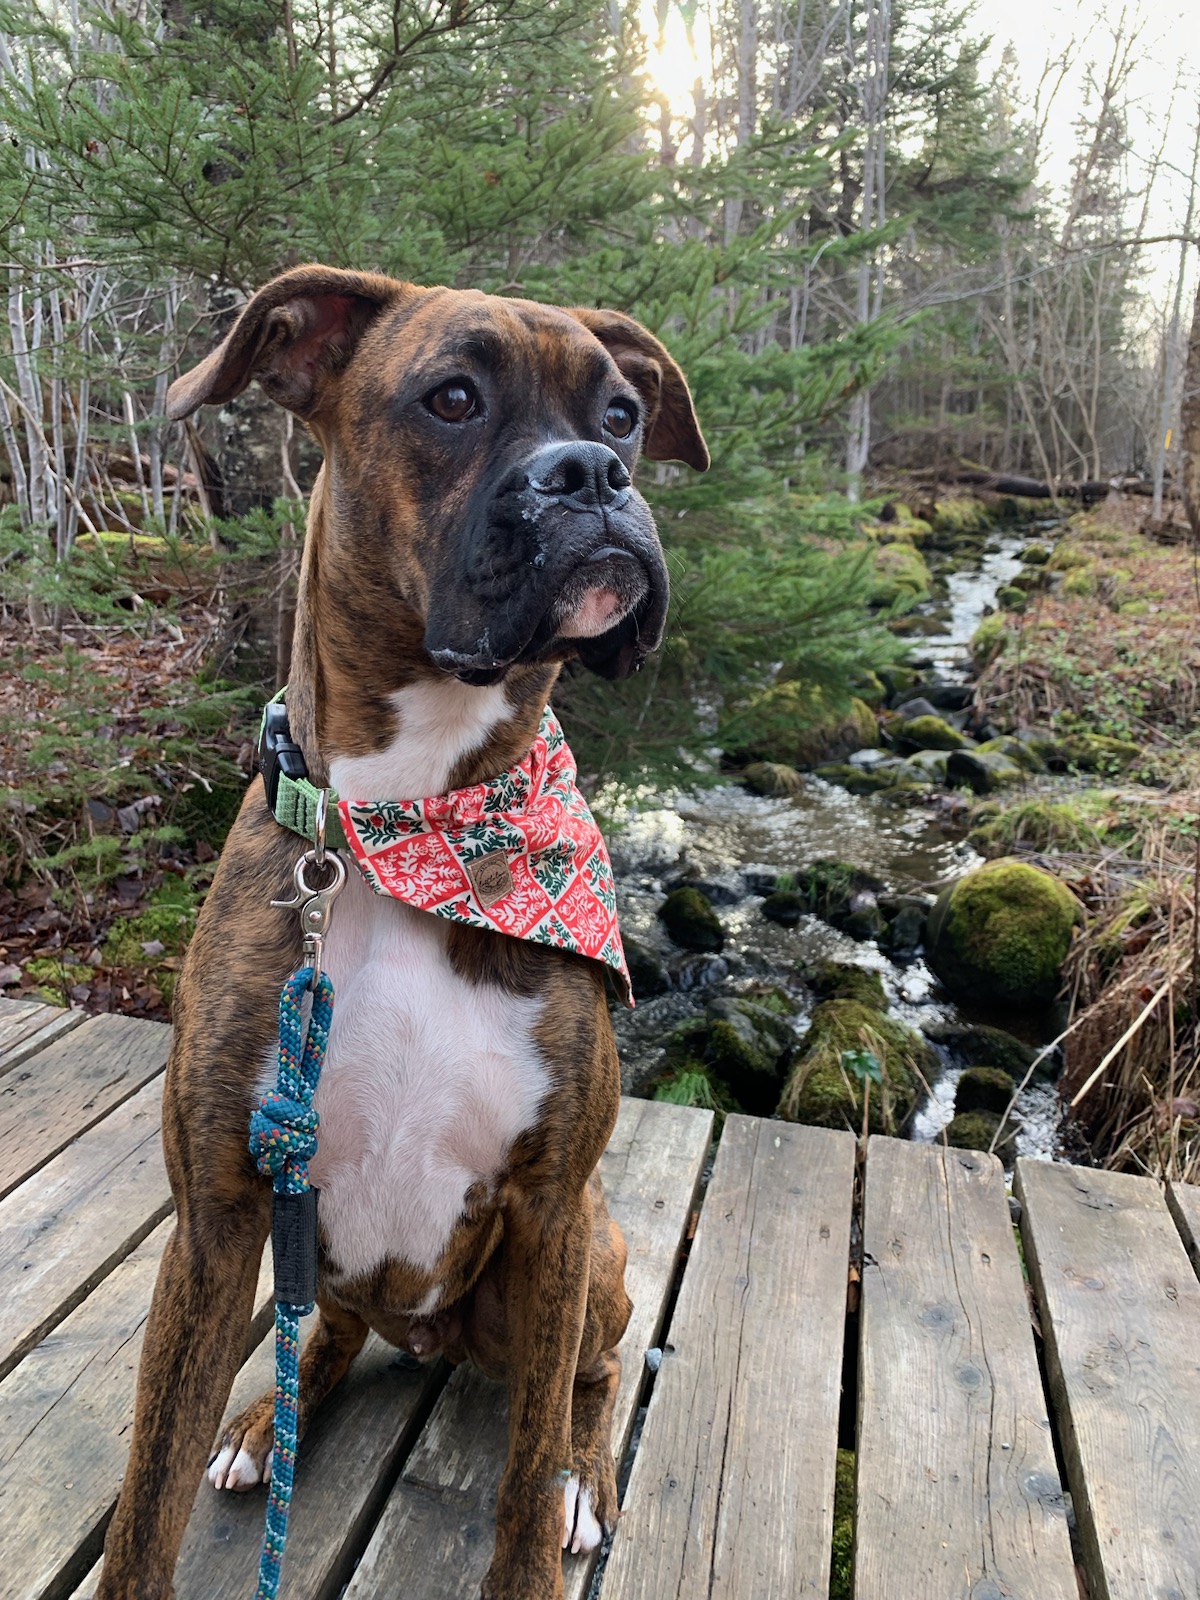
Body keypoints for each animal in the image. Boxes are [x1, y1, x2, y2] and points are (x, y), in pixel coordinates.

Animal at [101, 265, 713, 1600]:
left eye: (626, 411)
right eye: (453, 398)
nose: (596, 471)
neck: (405, 827)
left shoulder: (548, 1211)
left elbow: (521, 1495)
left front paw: (548, 1507)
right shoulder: (217, 1218)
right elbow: (146, 1499)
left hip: (590, 1254)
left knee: (589, 1378)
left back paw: (588, 1476)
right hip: (311, 1245)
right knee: (324, 1331)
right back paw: (259, 1424)